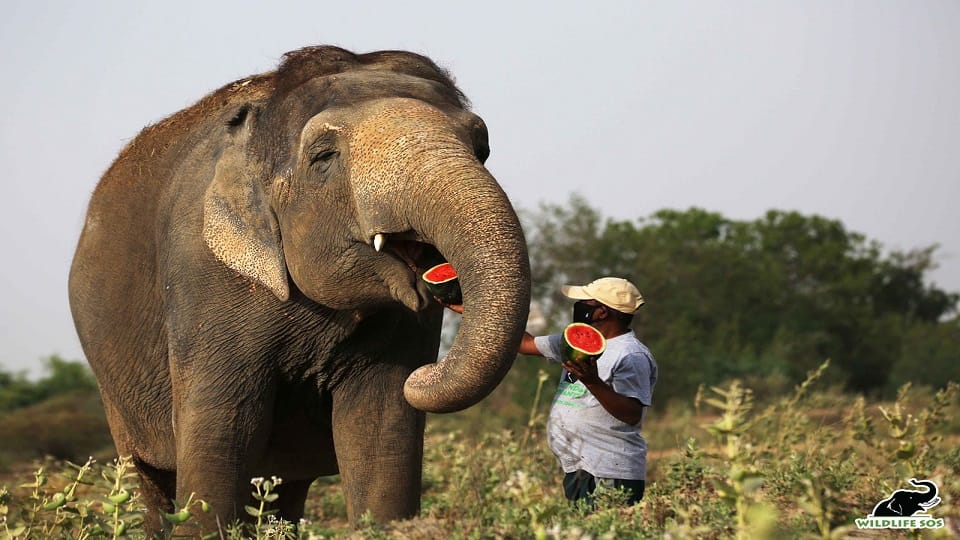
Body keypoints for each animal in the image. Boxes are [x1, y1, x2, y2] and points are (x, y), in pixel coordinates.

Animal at [68, 45, 530, 532]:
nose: (425, 374)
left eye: (482, 149)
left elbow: (382, 423)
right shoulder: (202, 273)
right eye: (323, 157)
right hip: (113, 389)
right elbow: (222, 429)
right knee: (148, 478)